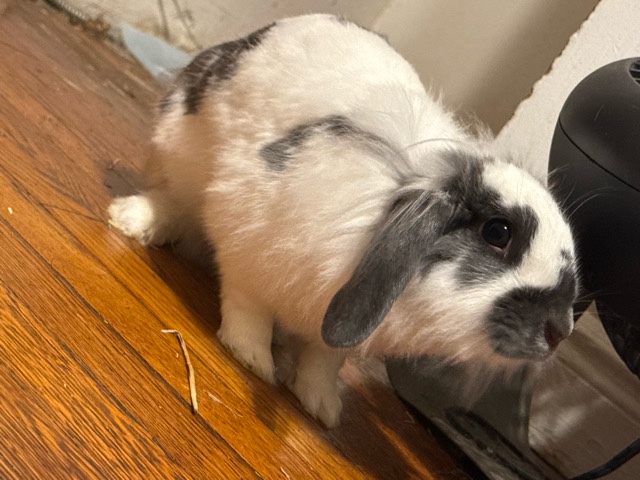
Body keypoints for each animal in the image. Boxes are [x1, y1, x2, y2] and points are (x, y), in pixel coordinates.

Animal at [108, 14, 578, 428]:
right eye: (498, 232)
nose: (560, 330)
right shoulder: (248, 239)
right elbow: (248, 306)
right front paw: (251, 357)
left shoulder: (336, 318)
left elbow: (326, 358)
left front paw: (320, 406)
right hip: (178, 146)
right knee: (174, 201)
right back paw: (133, 219)